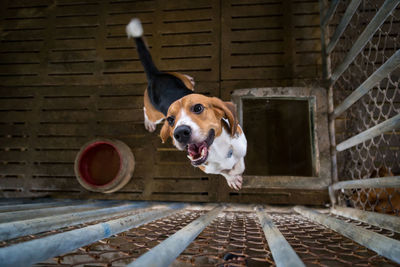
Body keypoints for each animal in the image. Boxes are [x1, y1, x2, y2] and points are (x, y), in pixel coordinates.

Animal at [128, 18, 247, 191]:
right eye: (171, 120)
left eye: (198, 108)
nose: (180, 133)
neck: (218, 149)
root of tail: (155, 76)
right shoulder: (208, 168)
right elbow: (224, 172)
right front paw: (232, 178)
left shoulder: (241, 147)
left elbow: (239, 164)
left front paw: (235, 170)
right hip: (154, 114)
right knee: (145, 110)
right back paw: (149, 123)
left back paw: (188, 78)